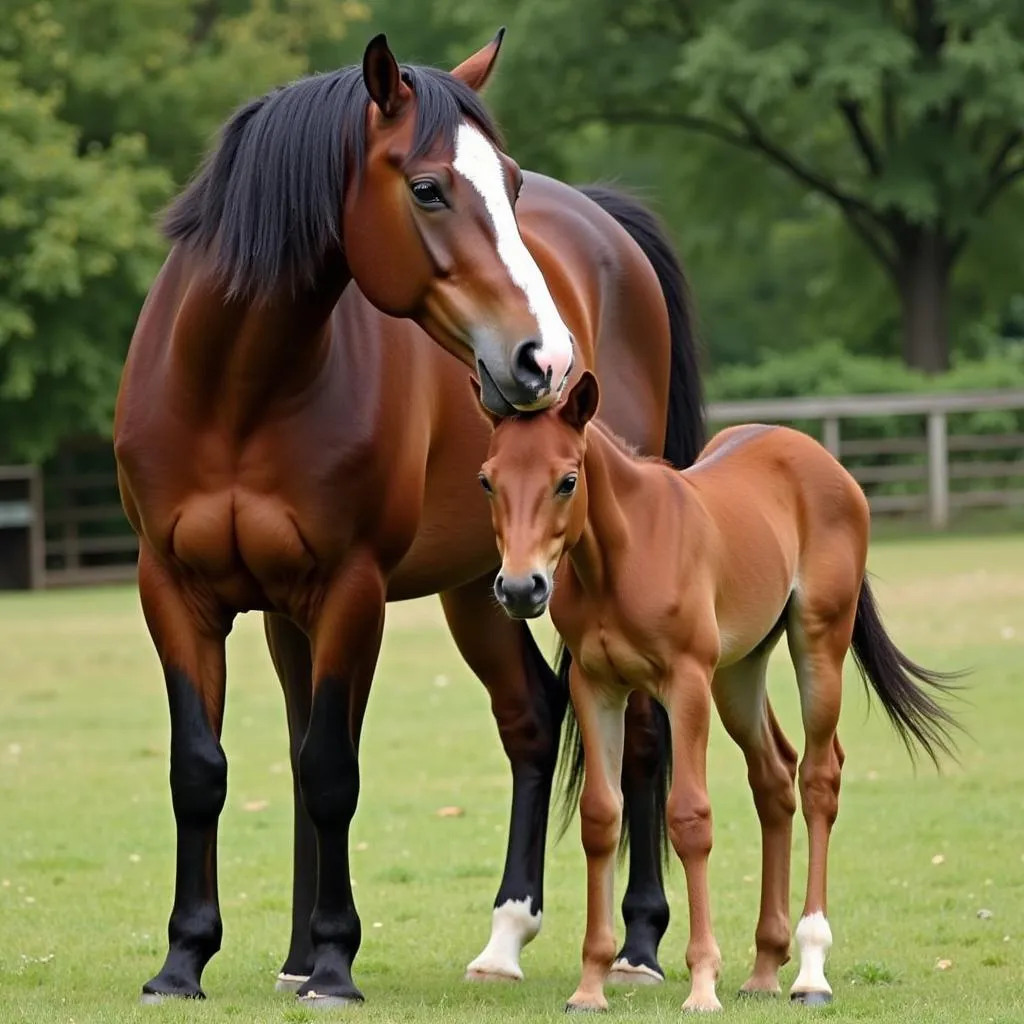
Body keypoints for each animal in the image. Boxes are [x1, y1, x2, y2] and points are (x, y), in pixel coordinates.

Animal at [112, 29, 704, 1007]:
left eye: (510, 183)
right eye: (427, 188)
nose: (546, 359)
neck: (235, 391)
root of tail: (610, 229)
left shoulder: (350, 591)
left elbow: (329, 768)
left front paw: (332, 964)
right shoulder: (180, 589)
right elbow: (208, 767)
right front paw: (188, 960)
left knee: (647, 736)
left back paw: (642, 943)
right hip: (482, 586)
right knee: (531, 718)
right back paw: (504, 938)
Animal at [471, 372, 958, 1011]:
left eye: (567, 480)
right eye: (487, 480)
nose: (520, 588)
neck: (624, 554)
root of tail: (819, 457)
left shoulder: (687, 682)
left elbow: (690, 818)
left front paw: (702, 983)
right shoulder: (596, 685)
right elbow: (601, 817)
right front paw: (590, 986)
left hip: (816, 645)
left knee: (819, 778)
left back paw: (810, 970)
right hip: (740, 672)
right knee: (774, 775)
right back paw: (764, 968)